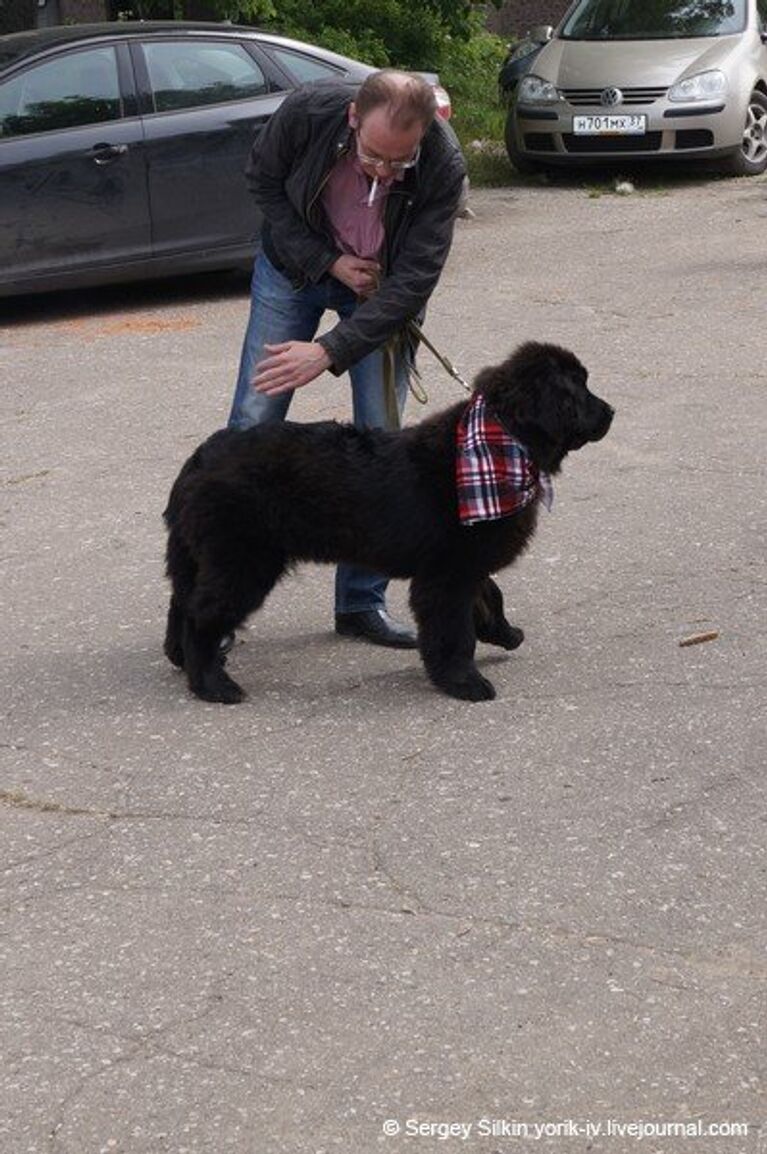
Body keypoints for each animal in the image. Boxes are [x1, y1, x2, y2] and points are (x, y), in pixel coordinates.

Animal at [164, 339, 613, 701]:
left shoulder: (466, 559)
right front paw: (464, 682)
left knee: (183, 601)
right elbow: (454, 631)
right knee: (201, 613)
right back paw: (212, 685)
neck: (502, 443)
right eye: (579, 388)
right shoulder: (447, 573)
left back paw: (180, 658)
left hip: (202, 555)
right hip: (244, 560)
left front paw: (503, 632)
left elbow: (490, 594)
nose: (611, 411)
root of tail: (200, 459)